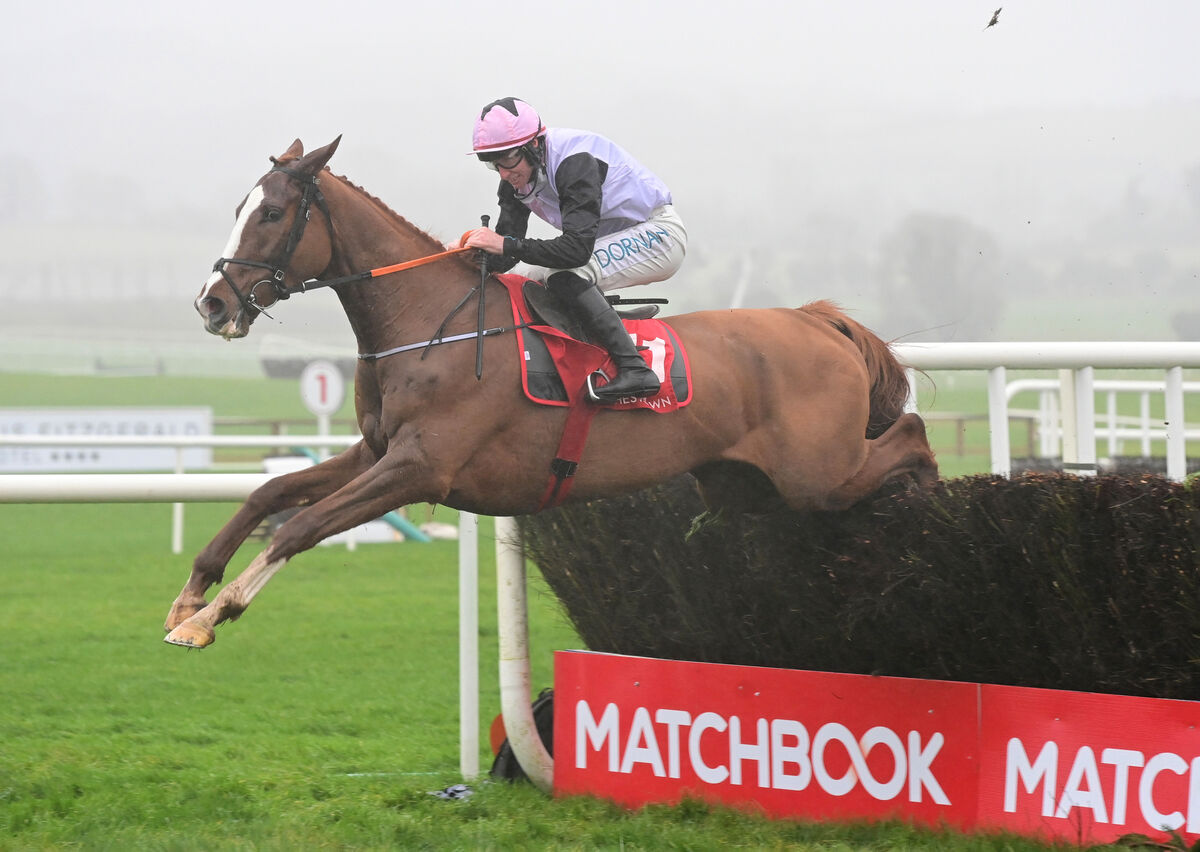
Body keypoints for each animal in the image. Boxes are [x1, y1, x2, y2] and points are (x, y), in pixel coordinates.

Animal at [164, 136, 938, 648]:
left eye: (271, 215)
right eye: (241, 208)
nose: (210, 303)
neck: (428, 321)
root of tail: (815, 320)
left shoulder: (422, 467)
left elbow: (304, 525)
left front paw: (212, 615)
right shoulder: (375, 452)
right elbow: (270, 494)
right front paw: (189, 595)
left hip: (818, 471)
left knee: (910, 437)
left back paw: (927, 496)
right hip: (744, 483)